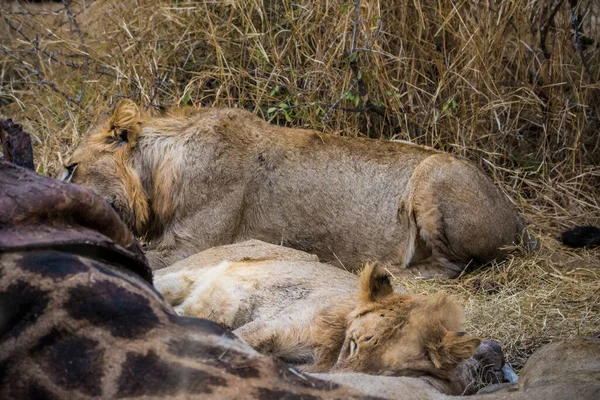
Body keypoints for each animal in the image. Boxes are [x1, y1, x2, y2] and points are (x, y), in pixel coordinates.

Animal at [62, 99, 536, 278]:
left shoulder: (194, 244)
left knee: (451, 267)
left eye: (70, 168)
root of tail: (520, 223)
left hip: (435, 171)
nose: (58, 181)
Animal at [152, 241, 480, 394]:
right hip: (181, 275)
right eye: (354, 344)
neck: (332, 351)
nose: (342, 376)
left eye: (385, 373)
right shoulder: (273, 325)